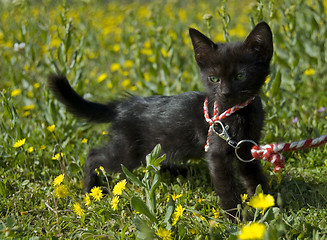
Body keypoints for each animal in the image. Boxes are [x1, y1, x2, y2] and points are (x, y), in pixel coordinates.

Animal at [48, 21, 272, 216]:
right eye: (214, 79)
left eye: (240, 76)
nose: (225, 93)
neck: (238, 112)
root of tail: (122, 106)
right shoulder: (217, 154)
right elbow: (226, 189)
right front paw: (236, 219)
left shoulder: (246, 148)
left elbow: (254, 178)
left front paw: (267, 205)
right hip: (127, 154)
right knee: (94, 155)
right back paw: (89, 190)